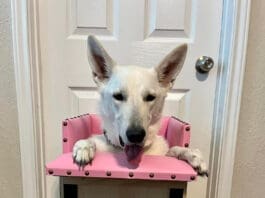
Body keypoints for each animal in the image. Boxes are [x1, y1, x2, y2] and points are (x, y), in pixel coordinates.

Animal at [72, 35, 208, 176]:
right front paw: (84, 146)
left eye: (150, 97)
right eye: (118, 96)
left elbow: (173, 149)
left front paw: (191, 153)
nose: (135, 135)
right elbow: (90, 140)